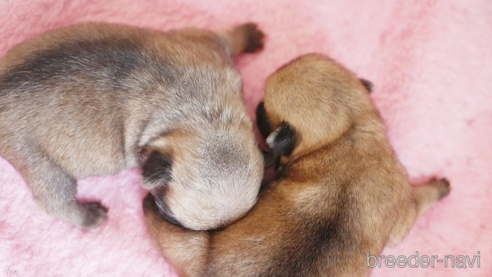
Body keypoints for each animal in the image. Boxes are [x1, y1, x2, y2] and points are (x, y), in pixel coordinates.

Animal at [0, 21, 266, 230]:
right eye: (167, 210)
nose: (155, 210)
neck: (206, 116)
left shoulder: (211, 48)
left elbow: (228, 38)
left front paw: (246, 36)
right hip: (42, 165)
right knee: (54, 201)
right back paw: (89, 217)